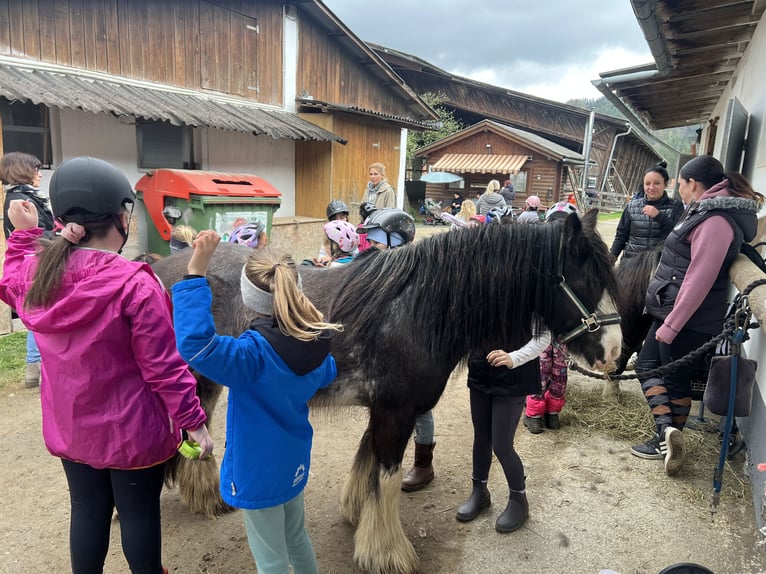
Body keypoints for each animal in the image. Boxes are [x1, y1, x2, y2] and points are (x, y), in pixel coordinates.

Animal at [152, 209, 622, 574]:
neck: (417, 309)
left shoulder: (388, 408)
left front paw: (358, 515)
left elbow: (369, 464)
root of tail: (160, 268)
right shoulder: (394, 411)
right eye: (584, 279)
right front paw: (387, 553)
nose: (615, 353)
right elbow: (388, 479)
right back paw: (207, 498)